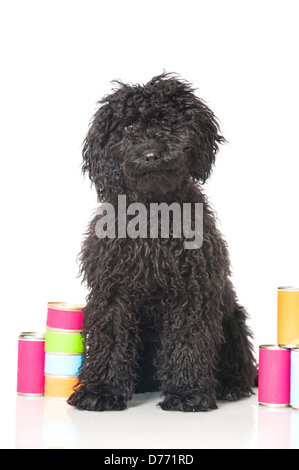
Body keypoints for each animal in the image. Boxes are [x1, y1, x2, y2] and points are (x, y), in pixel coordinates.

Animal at [68, 72, 258, 412]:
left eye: (167, 122)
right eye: (129, 127)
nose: (151, 155)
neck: (152, 214)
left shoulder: (191, 292)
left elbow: (187, 340)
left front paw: (187, 392)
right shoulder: (112, 292)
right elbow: (110, 341)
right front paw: (101, 390)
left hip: (232, 319)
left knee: (242, 365)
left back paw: (230, 385)